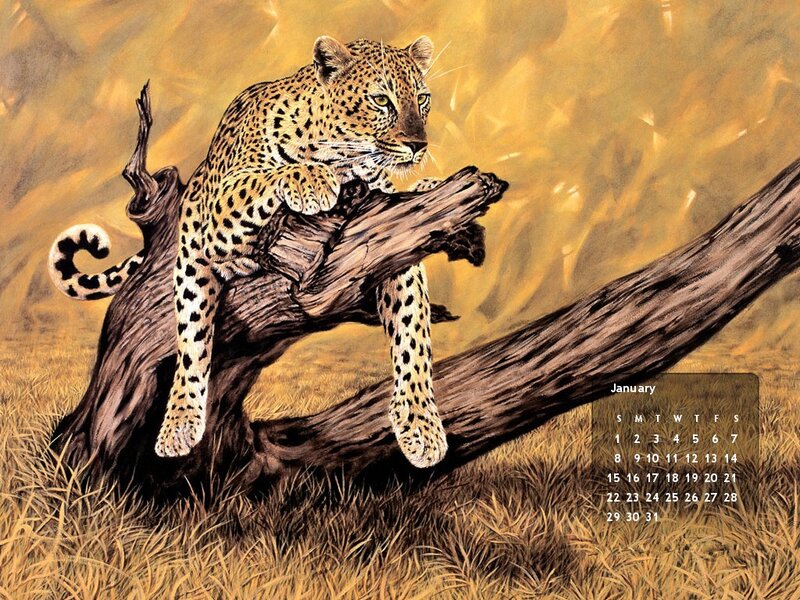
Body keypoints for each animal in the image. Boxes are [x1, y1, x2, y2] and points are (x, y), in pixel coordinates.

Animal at [48, 36, 448, 469]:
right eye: (380, 100)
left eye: (422, 98)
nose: (418, 146)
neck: (343, 159)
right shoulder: (220, 207)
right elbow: (262, 178)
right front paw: (311, 181)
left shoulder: (393, 234)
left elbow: (412, 333)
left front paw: (422, 428)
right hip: (191, 265)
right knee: (192, 345)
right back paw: (178, 428)